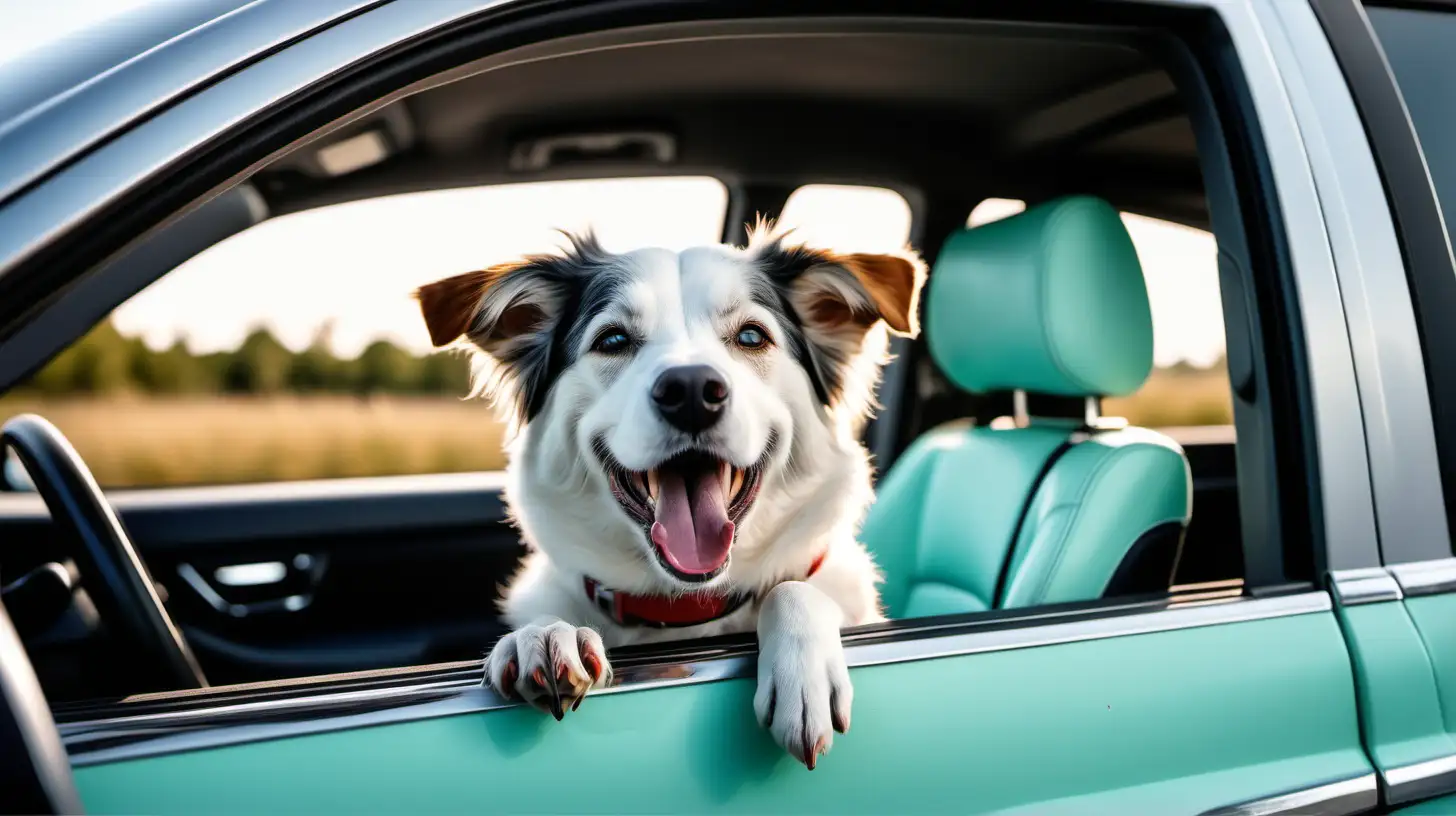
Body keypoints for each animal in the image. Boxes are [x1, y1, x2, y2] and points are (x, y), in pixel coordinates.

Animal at [416, 224, 926, 769]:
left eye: (752, 336)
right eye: (613, 340)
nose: (691, 390)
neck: (686, 606)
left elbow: (791, 588)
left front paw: (802, 677)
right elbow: (550, 621)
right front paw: (546, 635)